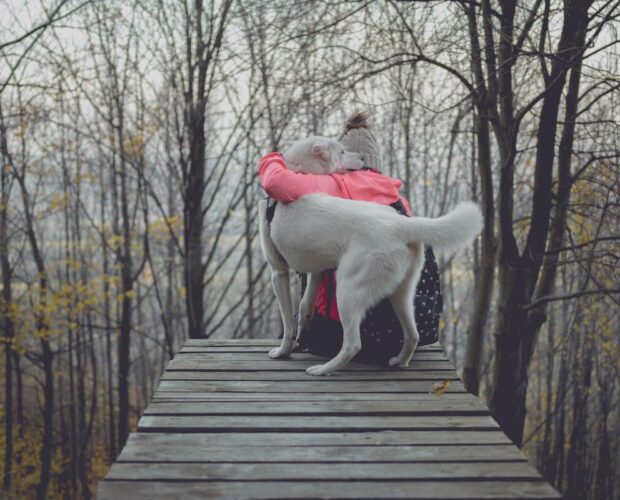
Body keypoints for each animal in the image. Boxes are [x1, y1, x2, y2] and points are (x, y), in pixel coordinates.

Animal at [260, 136, 482, 376]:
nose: (362, 158)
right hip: (401, 294)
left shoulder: (278, 272)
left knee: (353, 344)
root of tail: (400, 223)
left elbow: (288, 321)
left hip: (348, 289)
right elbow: (303, 307)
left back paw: (323, 369)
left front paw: (283, 351)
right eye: (342, 151)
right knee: (412, 335)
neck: (300, 170)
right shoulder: (316, 271)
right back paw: (399, 362)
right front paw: (303, 332)